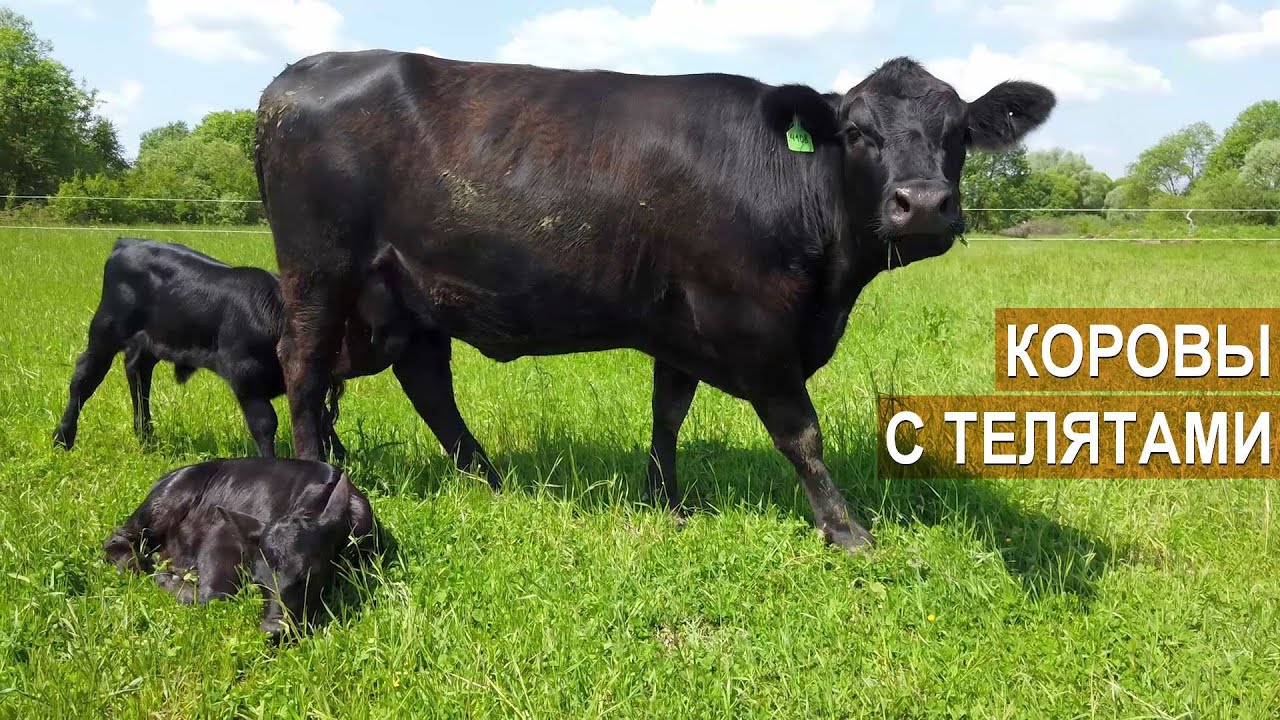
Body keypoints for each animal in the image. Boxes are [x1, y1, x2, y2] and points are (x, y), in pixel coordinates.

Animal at [52, 238, 408, 459]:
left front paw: (341, 456)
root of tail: (128, 243)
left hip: (150, 342)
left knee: (138, 373)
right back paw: (63, 438)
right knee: (84, 379)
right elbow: (265, 424)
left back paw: (147, 437)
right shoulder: (245, 377)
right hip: (105, 330)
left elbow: (320, 418)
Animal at [104, 457, 380, 639]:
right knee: (117, 540)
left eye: (307, 575)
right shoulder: (221, 532)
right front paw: (168, 579)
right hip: (164, 503)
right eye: (258, 581)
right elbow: (215, 594)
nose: (273, 630)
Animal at [254, 52, 1055, 554]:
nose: (923, 203)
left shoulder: (683, 324)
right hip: (321, 271)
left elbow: (668, 413)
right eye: (858, 132)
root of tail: (294, 77)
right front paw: (845, 529)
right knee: (303, 367)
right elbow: (802, 434)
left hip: (406, 294)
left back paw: (490, 481)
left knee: (423, 384)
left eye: (959, 134)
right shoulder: (751, 323)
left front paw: (667, 500)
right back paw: (314, 471)